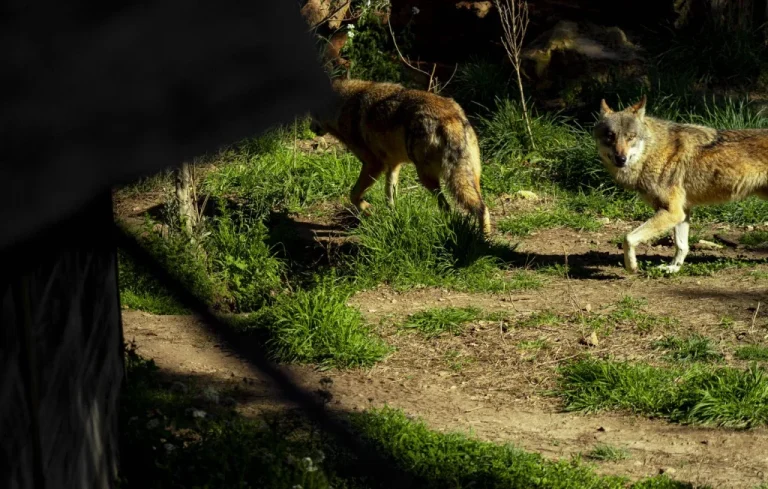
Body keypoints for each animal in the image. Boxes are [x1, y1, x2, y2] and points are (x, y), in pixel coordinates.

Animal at [308, 78, 492, 236]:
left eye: (312, 114)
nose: (310, 128)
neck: (343, 106)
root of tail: (450, 119)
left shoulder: (373, 165)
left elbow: (353, 194)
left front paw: (368, 209)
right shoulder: (393, 166)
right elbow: (389, 195)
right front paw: (391, 217)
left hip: (429, 179)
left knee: (454, 208)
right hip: (469, 178)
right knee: (479, 207)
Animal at [593, 95, 768, 274]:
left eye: (631, 136)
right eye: (610, 136)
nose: (621, 159)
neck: (653, 152)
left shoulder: (672, 212)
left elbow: (627, 238)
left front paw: (632, 267)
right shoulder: (682, 212)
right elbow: (682, 246)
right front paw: (673, 268)